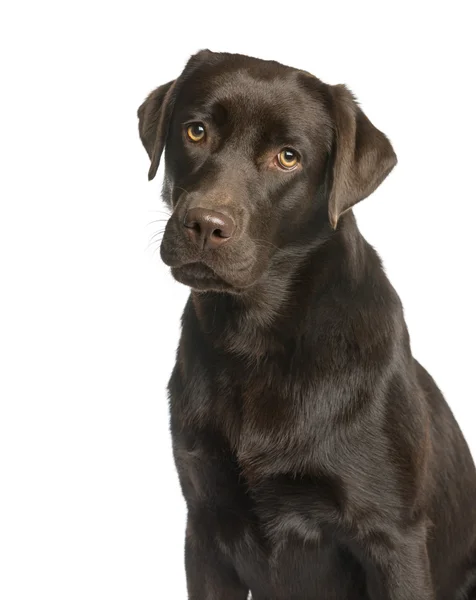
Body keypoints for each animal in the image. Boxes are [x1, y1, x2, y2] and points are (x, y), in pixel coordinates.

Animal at [138, 51, 476, 600]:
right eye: (196, 131)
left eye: (288, 157)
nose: (206, 225)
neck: (255, 339)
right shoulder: (205, 527)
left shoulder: (394, 538)